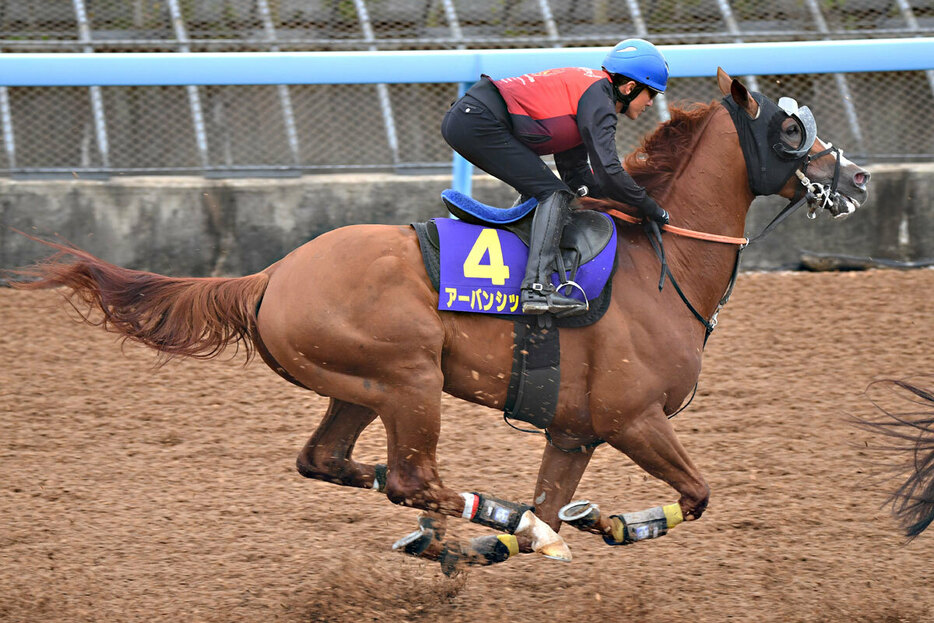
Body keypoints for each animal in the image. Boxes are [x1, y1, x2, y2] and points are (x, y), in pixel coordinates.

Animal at [9, 70, 872, 572]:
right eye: (790, 127)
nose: (858, 174)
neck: (660, 265)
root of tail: (272, 273)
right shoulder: (635, 419)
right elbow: (694, 494)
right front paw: (598, 525)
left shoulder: (575, 432)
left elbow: (560, 497)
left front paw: (527, 532)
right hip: (410, 377)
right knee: (411, 475)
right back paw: (476, 521)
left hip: (357, 386)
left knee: (331, 462)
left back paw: (448, 528)